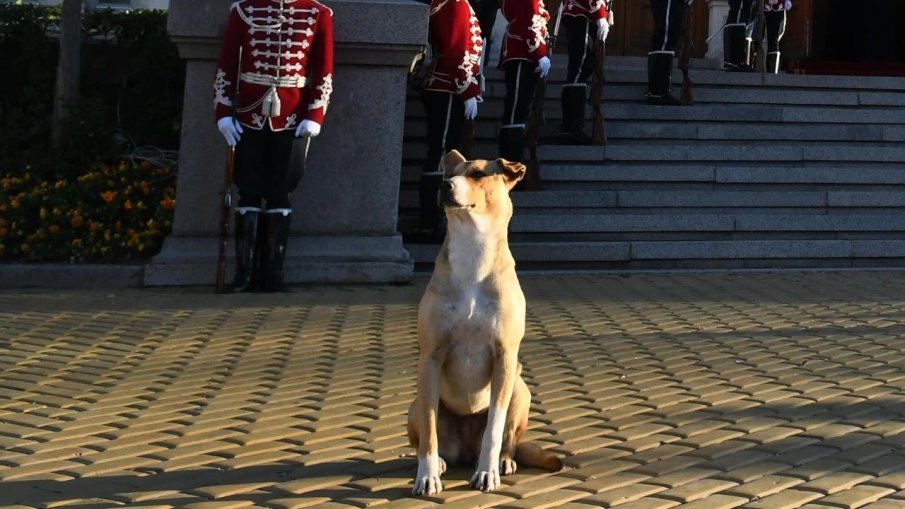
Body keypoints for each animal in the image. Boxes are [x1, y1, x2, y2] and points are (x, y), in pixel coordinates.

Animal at [408, 151, 560, 496]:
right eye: (447, 173)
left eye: (478, 174)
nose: (444, 185)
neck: (473, 252)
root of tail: (465, 451)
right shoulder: (430, 358)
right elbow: (429, 428)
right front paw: (427, 475)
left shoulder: (504, 356)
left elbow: (495, 427)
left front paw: (487, 472)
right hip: (414, 404)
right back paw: (440, 462)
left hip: (520, 389)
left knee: (508, 439)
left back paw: (503, 461)